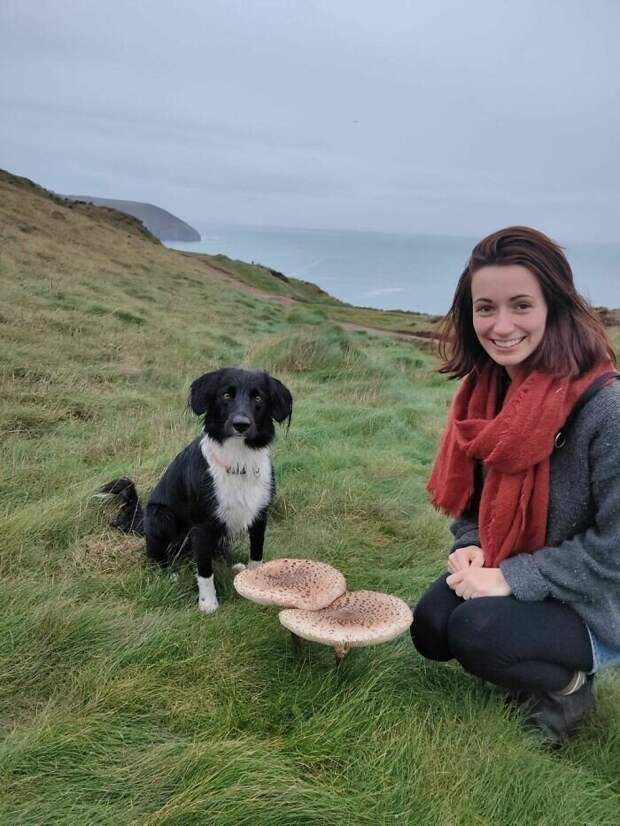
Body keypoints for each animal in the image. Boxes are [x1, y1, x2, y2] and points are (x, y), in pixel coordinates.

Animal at [99, 366, 294, 612]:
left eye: (258, 398)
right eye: (226, 395)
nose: (241, 424)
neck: (238, 461)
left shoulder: (260, 514)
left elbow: (256, 555)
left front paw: (255, 586)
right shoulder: (202, 526)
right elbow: (204, 570)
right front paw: (208, 603)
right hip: (162, 516)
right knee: (156, 555)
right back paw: (169, 574)